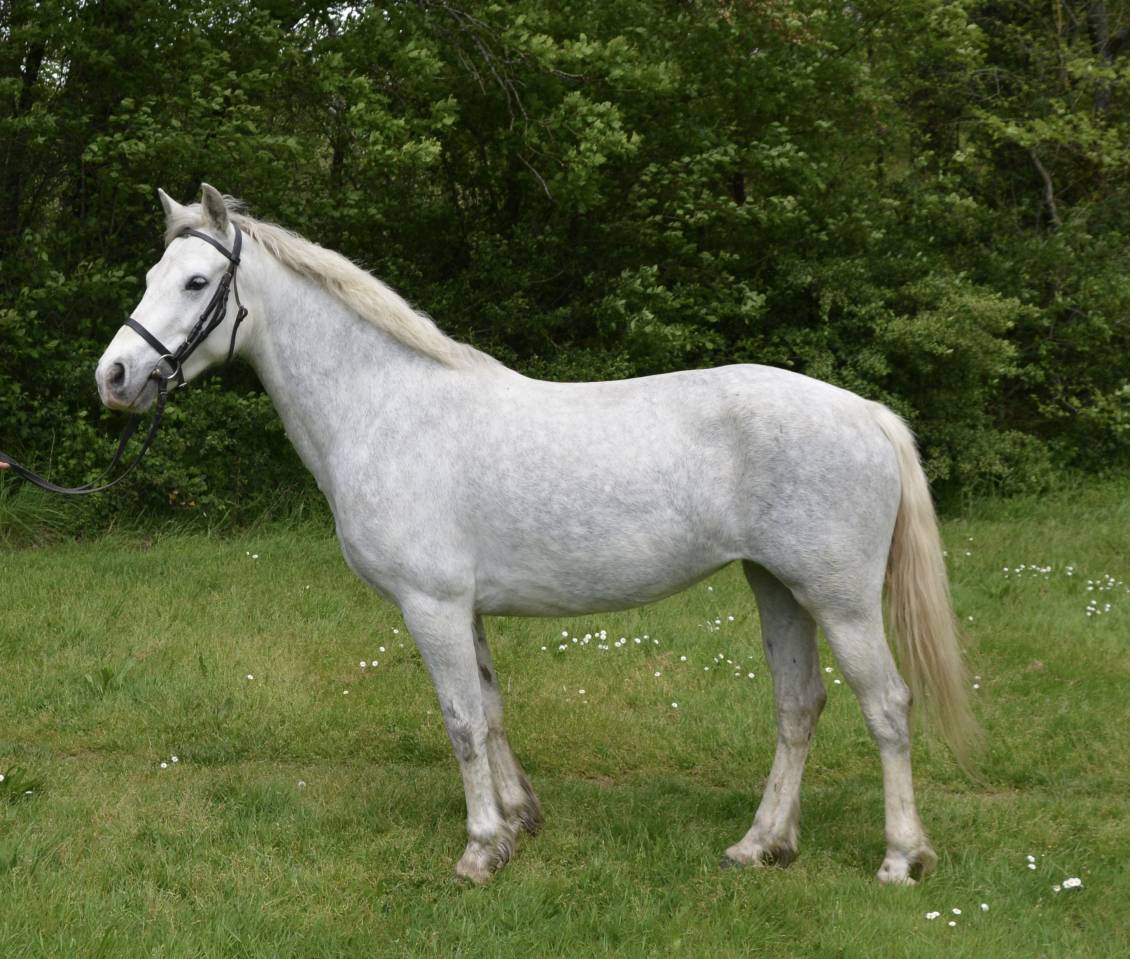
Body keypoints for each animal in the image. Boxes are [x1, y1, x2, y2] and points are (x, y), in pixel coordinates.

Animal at [94, 184, 977, 885]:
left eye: (197, 281)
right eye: (149, 278)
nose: (114, 377)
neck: (387, 407)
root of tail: (866, 412)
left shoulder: (431, 605)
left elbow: (459, 720)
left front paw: (480, 848)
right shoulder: (465, 608)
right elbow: (489, 710)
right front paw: (519, 823)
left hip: (841, 600)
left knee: (887, 707)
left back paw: (901, 857)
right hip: (778, 587)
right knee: (798, 705)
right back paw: (759, 845)